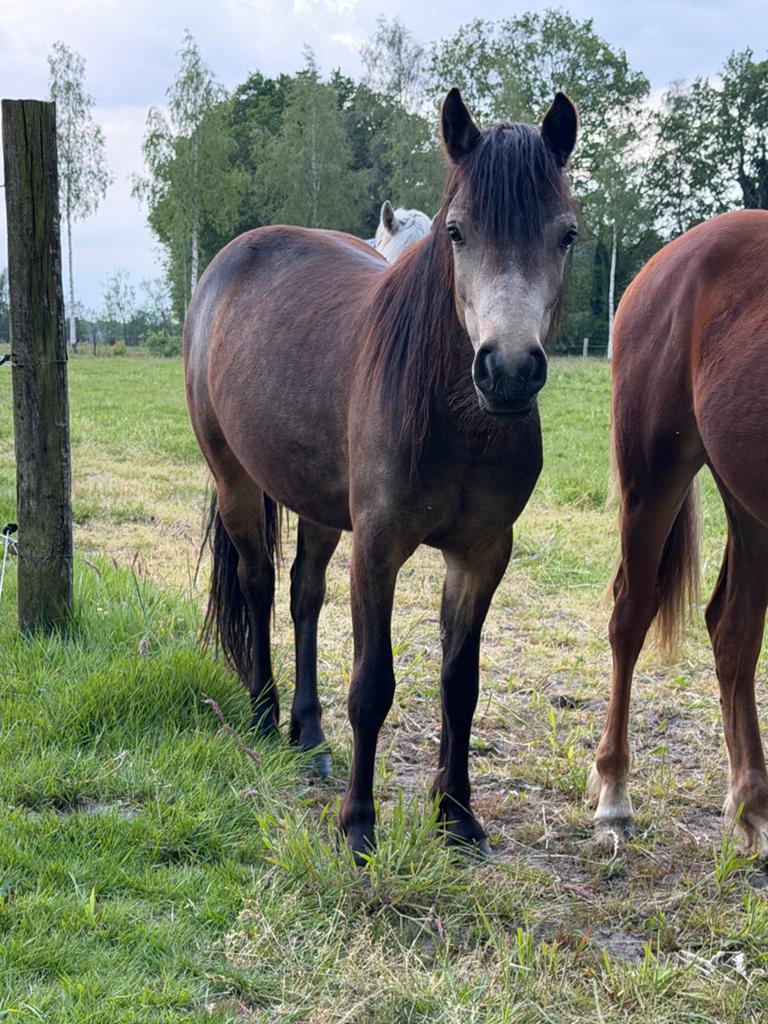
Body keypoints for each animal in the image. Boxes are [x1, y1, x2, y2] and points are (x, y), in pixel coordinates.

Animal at [183, 88, 579, 861]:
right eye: (457, 233)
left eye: (567, 234)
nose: (508, 369)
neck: (459, 422)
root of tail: (230, 259)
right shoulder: (378, 547)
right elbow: (372, 684)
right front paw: (358, 824)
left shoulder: (482, 554)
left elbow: (461, 685)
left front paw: (456, 814)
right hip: (235, 479)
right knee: (258, 586)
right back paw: (264, 715)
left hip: (317, 504)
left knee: (304, 595)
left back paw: (308, 736)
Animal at [587, 209, 768, 856]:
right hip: (654, 476)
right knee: (630, 616)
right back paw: (615, 795)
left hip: (747, 501)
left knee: (732, 629)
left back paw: (751, 804)